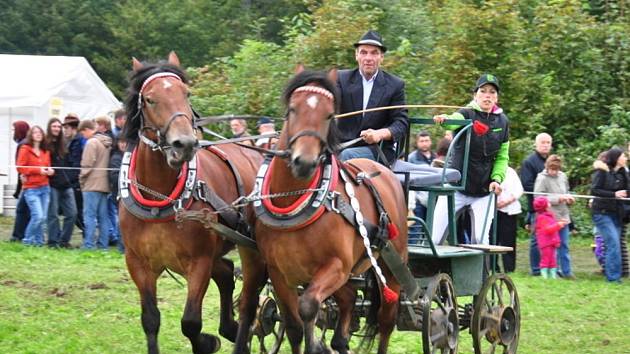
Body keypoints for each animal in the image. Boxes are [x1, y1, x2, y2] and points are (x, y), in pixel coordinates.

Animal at [119, 52, 266, 354]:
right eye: (149, 99)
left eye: (185, 94)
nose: (184, 143)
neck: (159, 197)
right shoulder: (137, 262)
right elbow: (150, 320)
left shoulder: (199, 262)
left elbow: (190, 323)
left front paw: (206, 342)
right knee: (226, 273)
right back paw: (230, 328)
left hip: (252, 250)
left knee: (250, 300)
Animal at [252, 70, 410, 354]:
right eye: (292, 109)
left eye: (329, 115)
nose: (304, 162)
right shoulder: (278, 272)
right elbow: (293, 327)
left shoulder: (335, 266)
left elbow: (308, 307)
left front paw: (317, 345)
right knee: (348, 300)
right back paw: (340, 341)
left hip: (393, 265)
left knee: (386, 320)